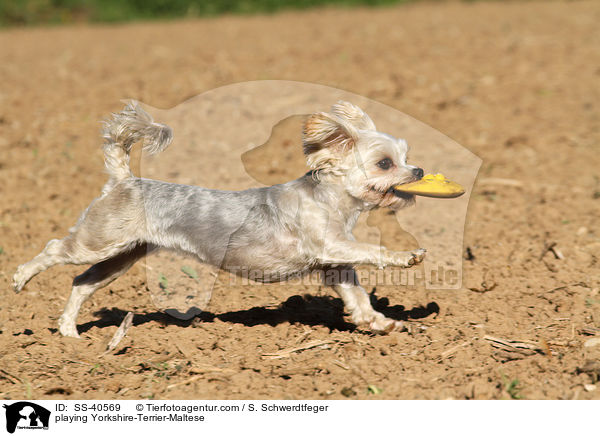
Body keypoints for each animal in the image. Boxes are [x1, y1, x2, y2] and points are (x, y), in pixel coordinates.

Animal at [12, 101, 426, 338]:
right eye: (385, 163)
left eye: (406, 157)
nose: (419, 170)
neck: (331, 200)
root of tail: (124, 179)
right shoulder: (328, 244)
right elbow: (373, 250)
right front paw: (406, 256)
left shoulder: (333, 264)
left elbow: (358, 297)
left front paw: (381, 323)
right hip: (98, 240)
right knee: (54, 248)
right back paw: (20, 278)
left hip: (121, 256)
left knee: (81, 283)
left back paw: (69, 333)